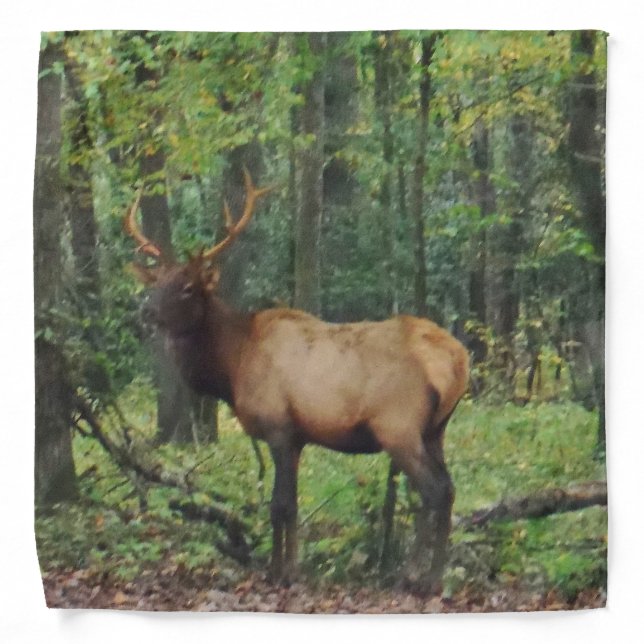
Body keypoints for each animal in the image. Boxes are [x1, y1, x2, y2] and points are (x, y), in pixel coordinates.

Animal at [124, 169, 470, 594]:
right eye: (155, 281)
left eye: (188, 286)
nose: (146, 312)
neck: (232, 365)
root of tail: (458, 360)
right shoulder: (298, 437)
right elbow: (294, 505)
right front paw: (293, 568)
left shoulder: (277, 425)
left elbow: (279, 505)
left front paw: (278, 573)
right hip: (436, 428)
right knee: (450, 489)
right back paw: (436, 577)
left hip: (398, 426)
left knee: (432, 491)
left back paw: (414, 577)